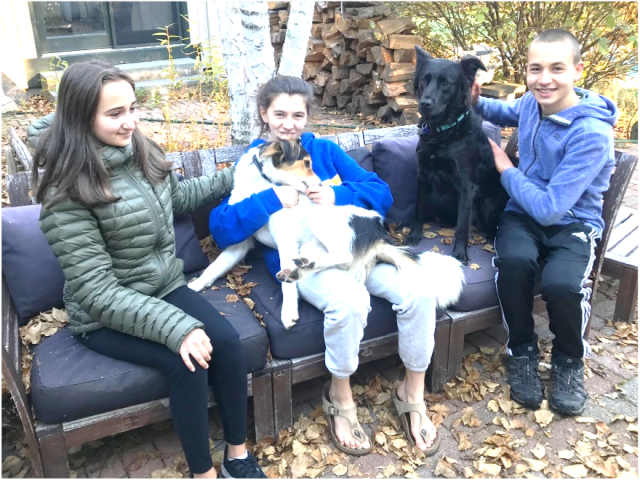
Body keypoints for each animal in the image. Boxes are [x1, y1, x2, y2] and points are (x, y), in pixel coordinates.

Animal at [190, 138, 464, 326]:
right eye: (306, 163)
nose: (321, 185)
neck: (263, 186)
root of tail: (378, 233)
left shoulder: (285, 237)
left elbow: (287, 290)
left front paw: (288, 312)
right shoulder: (241, 243)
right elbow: (213, 268)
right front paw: (195, 287)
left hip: (320, 220)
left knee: (343, 255)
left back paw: (299, 269)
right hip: (310, 245)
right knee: (331, 260)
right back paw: (301, 268)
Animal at [404, 46, 510, 262]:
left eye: (446, 83)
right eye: (424, 80)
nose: (424, 103)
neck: (443, 133)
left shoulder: (466, 184)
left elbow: (462, 224)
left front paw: (460, 253)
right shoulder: (422, 175)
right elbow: (418, 210)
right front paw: (414, 234)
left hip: (487, 203)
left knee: (491, 226)